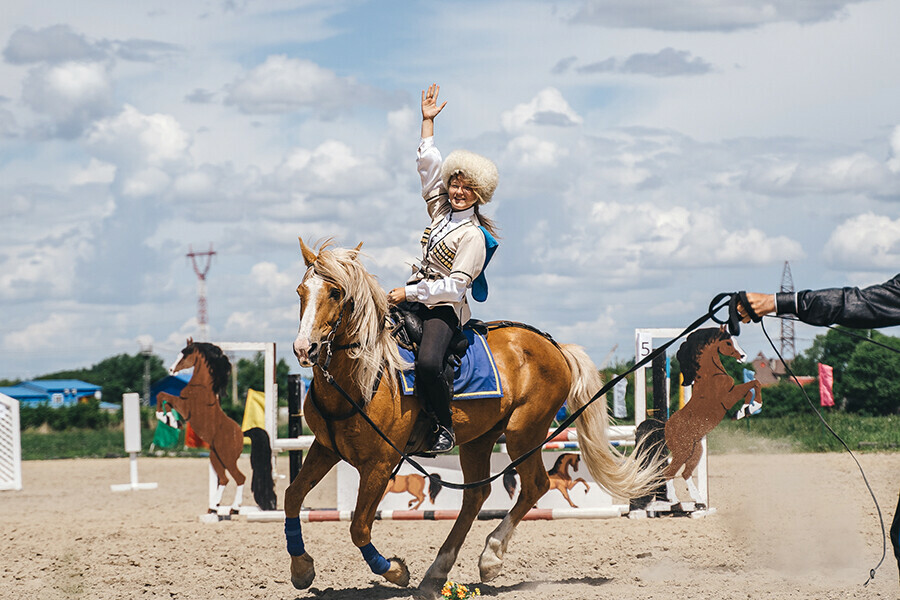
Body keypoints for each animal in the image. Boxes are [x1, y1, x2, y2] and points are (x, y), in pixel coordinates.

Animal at [158, 340, 276, 512]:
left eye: (185, 355)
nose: (171, 370)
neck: (200, 386)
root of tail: (242, 434)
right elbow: (163, 397)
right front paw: (171, 420)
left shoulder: (184, 406)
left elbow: (162, 395)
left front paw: (168, 419)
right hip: (216, 457)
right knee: (224, 479)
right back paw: (214, 506)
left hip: (227, 458)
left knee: (240, 478)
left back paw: (234, 507)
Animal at [286, 240, 660, 600]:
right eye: (301, 291)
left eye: (336, 292)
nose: (305, 349)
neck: (364, 375)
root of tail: (555, 346)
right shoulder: (325, 448)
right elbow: (293, 496)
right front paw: (301, 569)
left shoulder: (380, 462)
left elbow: (359, 527)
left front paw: (395, 571)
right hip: (479, 440)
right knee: (476, 496)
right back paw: (437, 574)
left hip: (523, 433)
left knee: (535, 485)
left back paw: (490, 558)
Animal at [664, 328, 764, 506]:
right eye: (728, 342)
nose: (743, 356)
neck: (710, 374)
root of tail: (665, 429)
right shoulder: (727, 398)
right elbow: (752, 384)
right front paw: (747, 409)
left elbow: (753, 385)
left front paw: (745, 409)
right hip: (683, 451)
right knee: (669, 473)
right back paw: (675, 501)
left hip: (696, 450)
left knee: (685, 473)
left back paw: (698, 500)